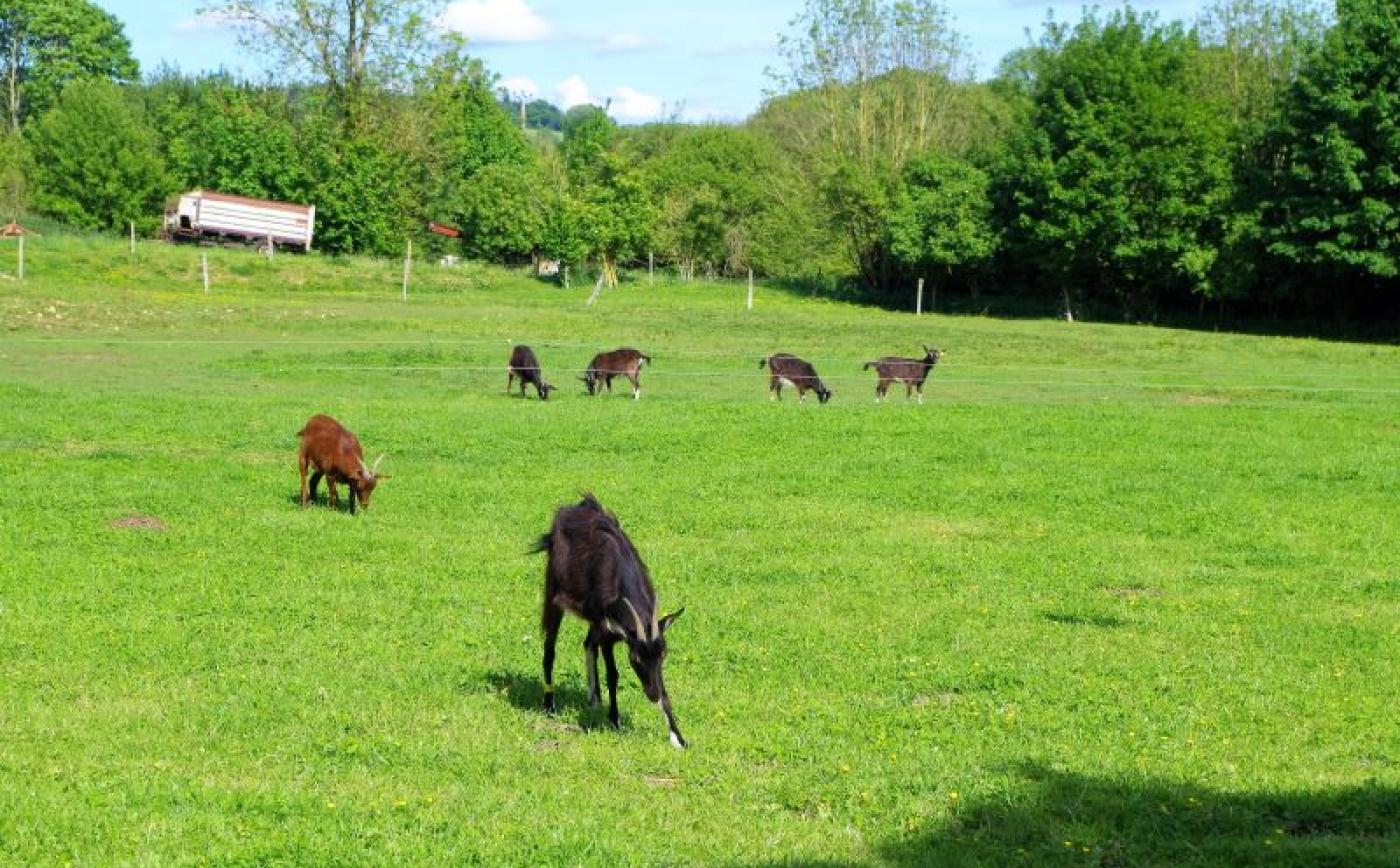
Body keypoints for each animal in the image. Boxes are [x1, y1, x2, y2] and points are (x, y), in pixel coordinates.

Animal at [532, 495, 686, 744]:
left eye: (663, 654)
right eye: (635, 659)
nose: (652, 695)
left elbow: (663, 685)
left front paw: (678, 738)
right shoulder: (609, 634)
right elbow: (613, 675)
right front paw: (615, 720)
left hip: (593, 619)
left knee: (587, 644)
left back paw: (594, 698)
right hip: (554, 594)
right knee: (550, 648)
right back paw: (549, 704)